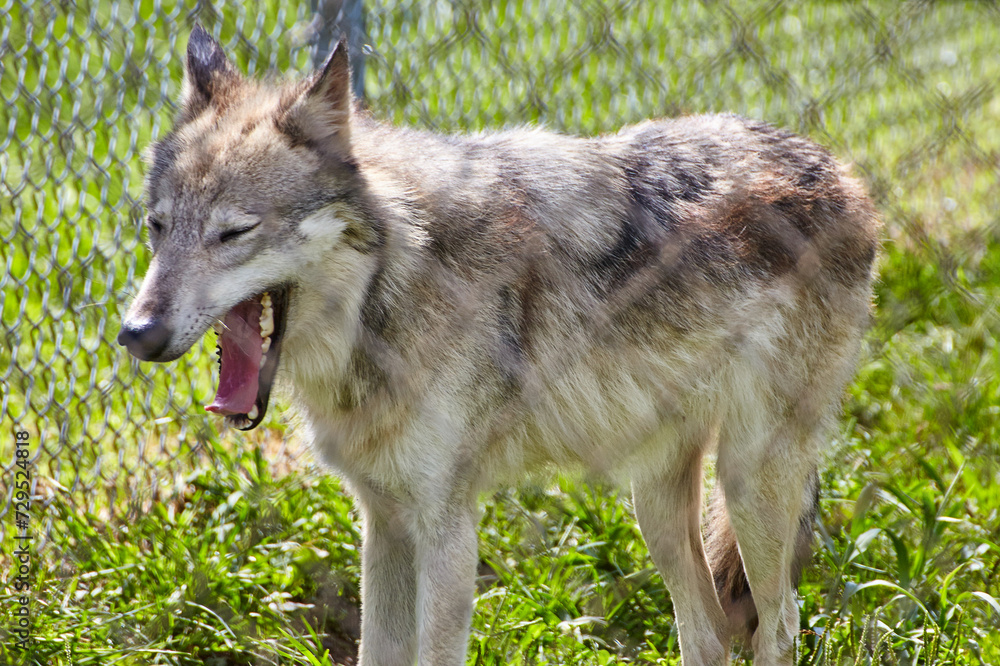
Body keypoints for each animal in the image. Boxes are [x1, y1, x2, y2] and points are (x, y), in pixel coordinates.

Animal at [121, 26, 880, 664]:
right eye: (157, 226)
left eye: (233, 232)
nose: (136, 334)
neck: (394, 284)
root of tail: (839, 171)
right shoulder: (383, 522)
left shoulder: (447, 529)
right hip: (657, 503)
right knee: (709, 633)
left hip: (748, 485)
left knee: (779, 628)